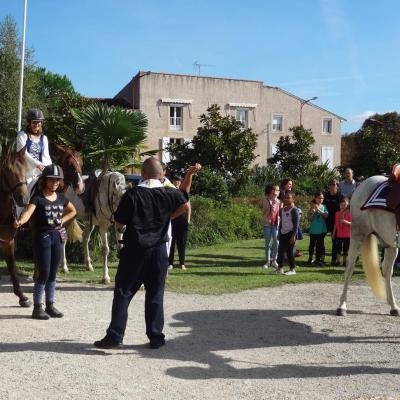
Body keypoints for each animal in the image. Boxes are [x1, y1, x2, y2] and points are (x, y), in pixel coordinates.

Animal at [336, 175, 398, 316]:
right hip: (357, 235)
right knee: (349, 269)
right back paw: (342, 306)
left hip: (390, 244)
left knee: (387, 271)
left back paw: (393, 306)